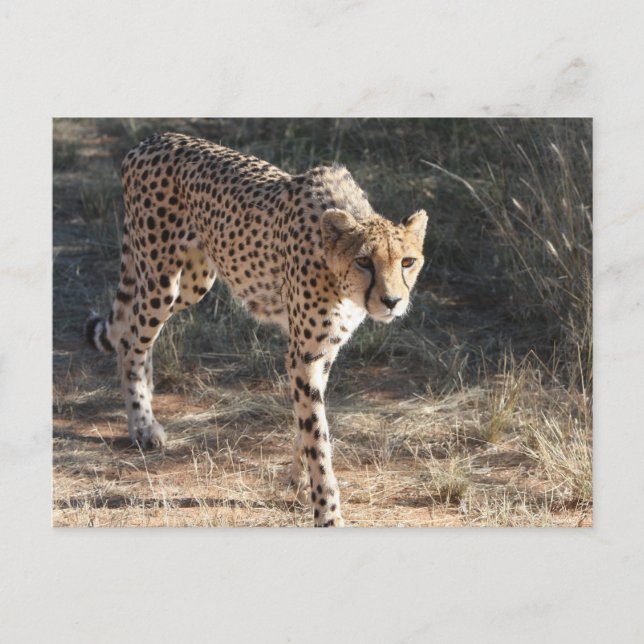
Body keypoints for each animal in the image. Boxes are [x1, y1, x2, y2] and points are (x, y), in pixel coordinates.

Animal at [85, 132, 428, 527]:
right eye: (364, 262)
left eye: (407, 261)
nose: (392, 301)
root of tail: (154, 139)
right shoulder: (304, 353)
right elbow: (317, 433)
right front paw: (326, 511)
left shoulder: (323, 350)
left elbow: (308, 422)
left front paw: (298, 480)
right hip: (160, 279)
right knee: (130, 340)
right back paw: (141, 424)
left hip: (194, 281)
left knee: (138, 332)